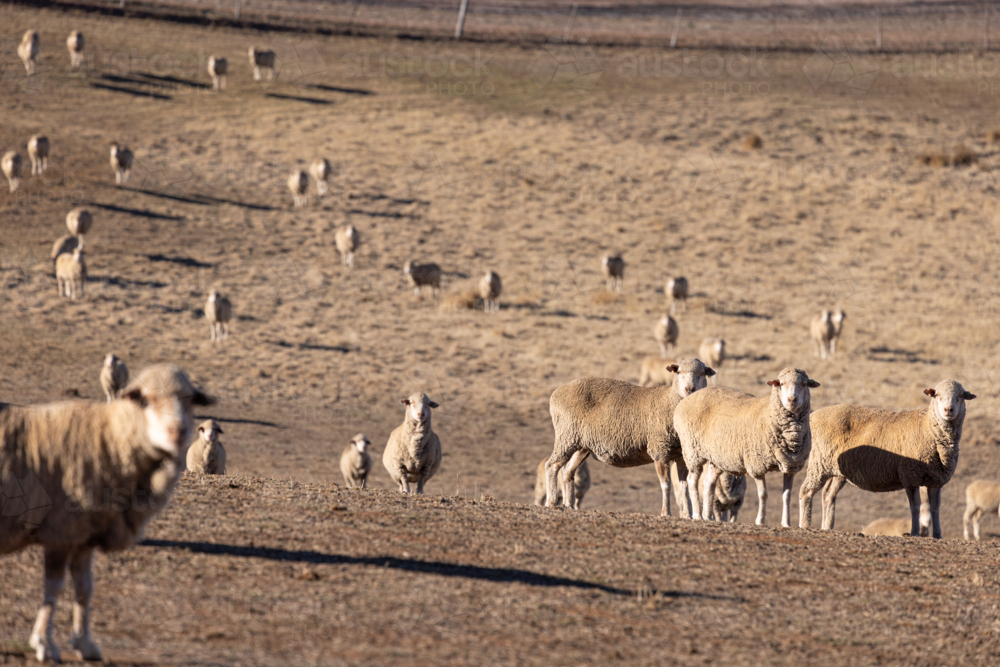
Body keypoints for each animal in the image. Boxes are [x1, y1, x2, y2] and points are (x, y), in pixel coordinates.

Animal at [0, 365, 214, 663]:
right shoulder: (60, 531)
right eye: (145, 400)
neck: (108, 437)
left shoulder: (83, 537)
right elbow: (54, 589)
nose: (179, 432)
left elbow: (85, 589)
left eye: (190, 400)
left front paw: (85, 643)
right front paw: (44, 643)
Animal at [544, 357, 716, 517]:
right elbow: (665, 484)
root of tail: (556, 392)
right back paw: (551, 502)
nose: (690, 389)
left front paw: (687, 515)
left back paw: (569, 505)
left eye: (702, 374)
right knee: (552, 465)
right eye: (678, 372)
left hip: (581, 444)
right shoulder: (659, 450)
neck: (670, 400)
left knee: (567, 471)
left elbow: (683, 486)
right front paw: (665, 512)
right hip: (566, 435)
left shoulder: (681, 455)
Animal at [676, 367, 820, 527]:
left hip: (716, 459)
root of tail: (686, 400)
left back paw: (708, 516)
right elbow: (763, 494)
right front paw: (760, 521)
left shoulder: (791, 466)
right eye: (781, 384)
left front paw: (786, 523)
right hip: (692, 451)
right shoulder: (756, 465)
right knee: (692, 481)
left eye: (804, 384)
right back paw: (697, 515)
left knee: (708, 484)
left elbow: (787, 495)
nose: (792, 400)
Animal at [799, 379, 975, 539]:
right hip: (819, 462)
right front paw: (915, 532)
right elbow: (915, 507)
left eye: (960, 396)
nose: (948, 410)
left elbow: (934, 509)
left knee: (828, 495)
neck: (927, 427)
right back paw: (805, 525)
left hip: (838, 471)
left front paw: (938, 535)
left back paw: (827, 527)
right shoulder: (910, 476)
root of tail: (814, 415)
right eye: (937, 395)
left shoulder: (936, 481)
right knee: (806, 491)